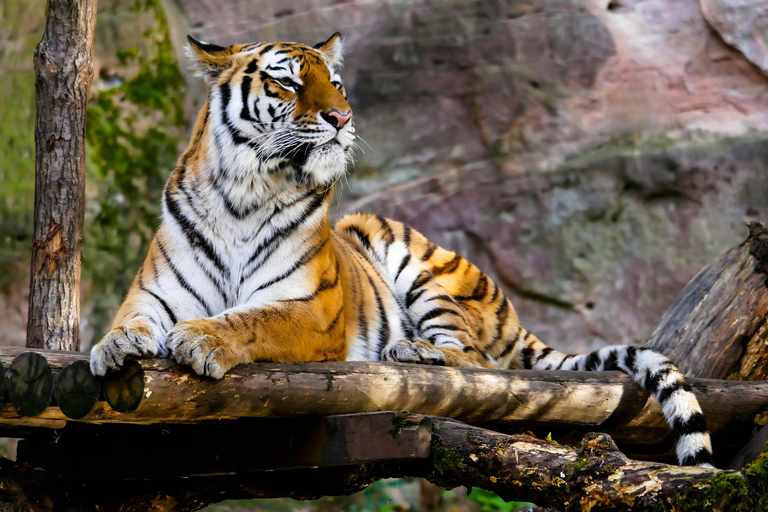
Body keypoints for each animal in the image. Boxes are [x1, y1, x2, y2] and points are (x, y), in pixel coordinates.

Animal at [88, 31, 712, 464]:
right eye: (287, 82)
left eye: (336, 83)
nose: (341, 117)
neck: (244, 193)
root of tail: (512, 313)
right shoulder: (155, 293)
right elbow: (130, 320)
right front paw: (112, 347)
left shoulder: (312, 310)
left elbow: (252, 319)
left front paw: (202, 339)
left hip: (413, 261)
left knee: (477, 361)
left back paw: (413, 351)